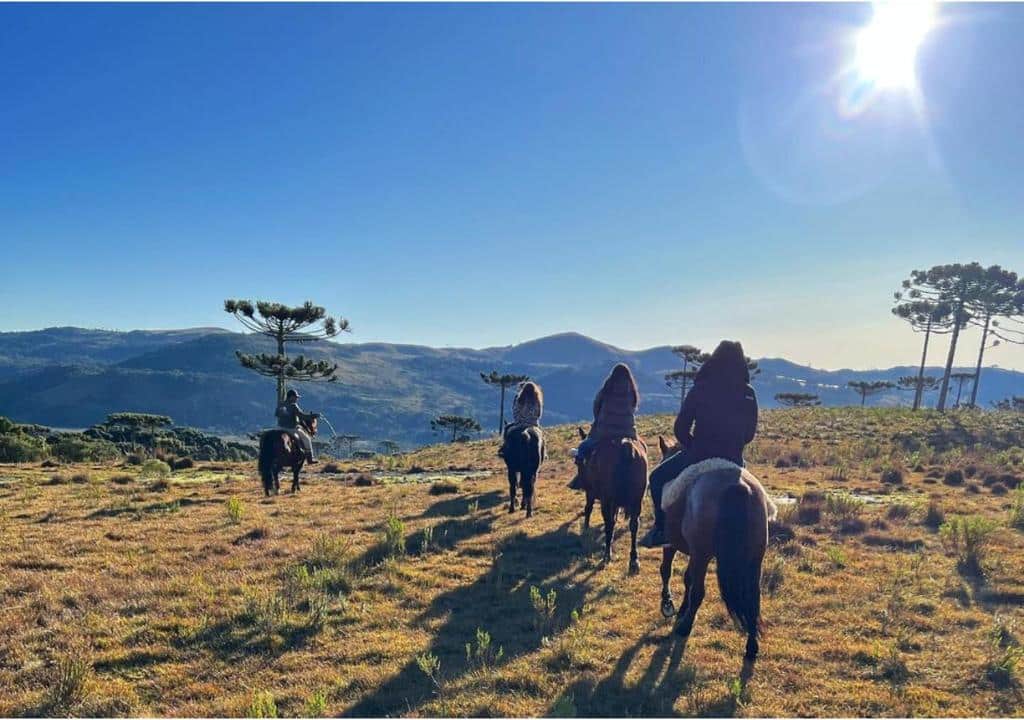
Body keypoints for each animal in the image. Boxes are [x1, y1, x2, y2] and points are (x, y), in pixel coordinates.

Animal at [576, 427, 648, 574]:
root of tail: (626, 447)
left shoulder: (592, 493)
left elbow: (588, 508)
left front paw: (585, 528)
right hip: (637, 499)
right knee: (634, 525)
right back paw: (634, 560)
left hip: (607, 499)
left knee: (608, 523)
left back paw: (607, 555)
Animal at [655, 437, 775, 662]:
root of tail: (738, 486)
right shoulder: (694, 553)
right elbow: (687, 578)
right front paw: (681, 608)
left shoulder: (674, 546)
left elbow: (667, 571)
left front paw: (669, 605)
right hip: (754, 559)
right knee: (753, 599)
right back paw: (752, 645)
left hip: (704, 554)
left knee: (699, 592)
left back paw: (685, 628)